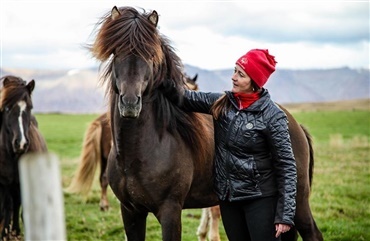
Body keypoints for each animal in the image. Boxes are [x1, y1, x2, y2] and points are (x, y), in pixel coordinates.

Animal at [0, 75, 47, 239]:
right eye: (7, 108)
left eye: (30, 107)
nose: (21, 143)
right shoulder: (5, 184)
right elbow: (7, 206)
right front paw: (5, 233)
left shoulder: (22, 181)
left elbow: (20, 205)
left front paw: (17, 231)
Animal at [89, 5, 320, 241]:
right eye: (116, 52)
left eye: (151, 54)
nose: (130, 103)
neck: (139, 154)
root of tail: (294, 124)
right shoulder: (130, 212)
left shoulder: (170, 211)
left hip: (298, 201)